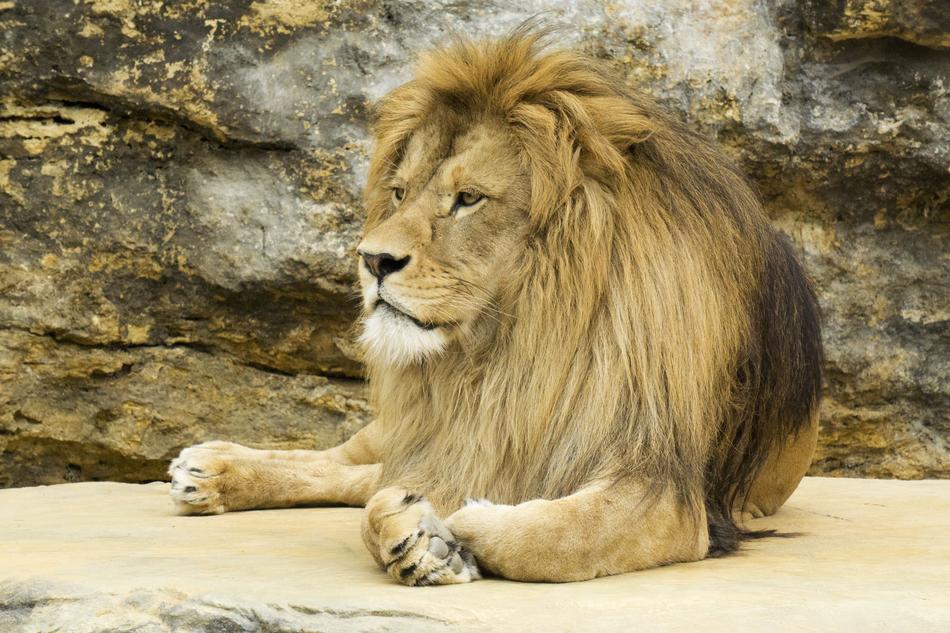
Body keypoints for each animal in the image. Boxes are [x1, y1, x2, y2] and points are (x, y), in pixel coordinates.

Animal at [168, 29, 822, 586]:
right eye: (399, 193)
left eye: (467, 199)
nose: (372, 260)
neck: (510, 347)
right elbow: (381, 503)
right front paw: (420, 537)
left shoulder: (667, 493)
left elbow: (555, 537)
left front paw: (453, 528)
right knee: (349, 462)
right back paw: (212, 467)